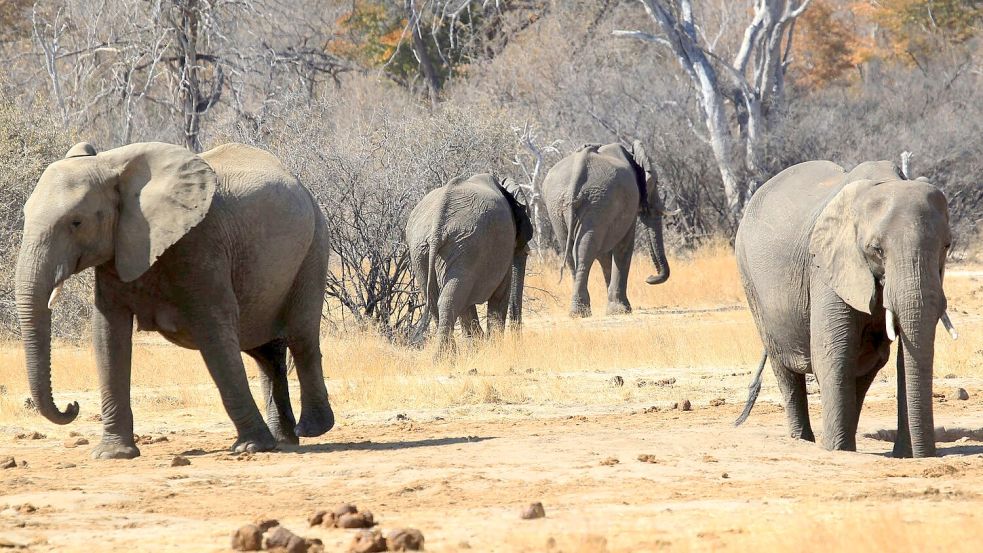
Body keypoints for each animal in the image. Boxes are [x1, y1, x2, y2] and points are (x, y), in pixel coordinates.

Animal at [16, 141, 334, 458]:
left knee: (301, 336)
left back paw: (310, 430)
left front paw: (251, 446)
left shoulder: (200, 243)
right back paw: (284, 439)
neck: (111, 165)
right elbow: (108, 335)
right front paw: (113, 454)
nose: (72, 406)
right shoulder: (118, 250)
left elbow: (215, 331)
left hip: (315, 244)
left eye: (76, 222)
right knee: (265, 352)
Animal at [406, 172, 536, 354]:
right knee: (450, 298)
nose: (518, 345)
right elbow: (501, 293)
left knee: (435, 298)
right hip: (466, 245)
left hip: (423, 250)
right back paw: (447, 356)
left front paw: (478, 345)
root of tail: (438, 223)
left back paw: (448, 355)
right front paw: (491, 347)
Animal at [540, 140, 676, 316]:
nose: (649, 278)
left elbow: (604, 254)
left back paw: (578, 311)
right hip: (597, 202)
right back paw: (581, 312)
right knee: (585, 250)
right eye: (656, 183)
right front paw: (622, 310)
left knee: (569, 251)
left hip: (558, 205)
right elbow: (624, 247)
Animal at [736, 158, 956, 458]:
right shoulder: (827, 266)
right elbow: (833, 353)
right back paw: (805, 441)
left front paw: (903, 456)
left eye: (946, 245)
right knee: (784, 365)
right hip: (749, 277)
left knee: (867, 363)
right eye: (876, 249)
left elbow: (905, 356)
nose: (928, 455)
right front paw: (835, 450)